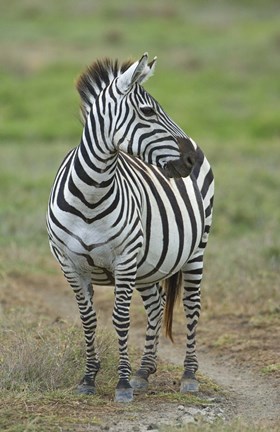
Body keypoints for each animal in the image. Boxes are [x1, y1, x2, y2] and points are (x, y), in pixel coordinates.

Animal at [47, 53, 214, 402]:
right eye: (149, 111)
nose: (190, 159)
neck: (91, 195)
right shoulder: (70, 264)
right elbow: (88, 319)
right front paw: (89, 378)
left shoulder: (124, 259)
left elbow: (120, 319)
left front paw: (122, 383)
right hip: (148, 265)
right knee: (156, 306)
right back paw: (144, 371)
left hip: (196, 249)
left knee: (191, 306)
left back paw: (188, 375)